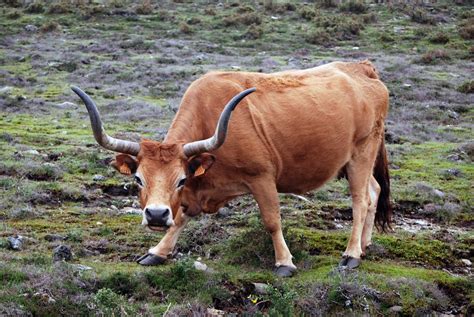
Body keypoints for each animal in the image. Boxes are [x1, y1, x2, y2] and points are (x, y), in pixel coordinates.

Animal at [72, 59, 390, 276]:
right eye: (138, 179)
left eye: (180, 180)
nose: (156, 215)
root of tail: (362, 68)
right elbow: (182, 218)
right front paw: (157, 252)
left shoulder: (261, 178)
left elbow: (272, 221)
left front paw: (284, 262)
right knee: (374, 192)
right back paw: (365, 245)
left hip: (362, 153)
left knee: (361, 200)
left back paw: (351, 254)